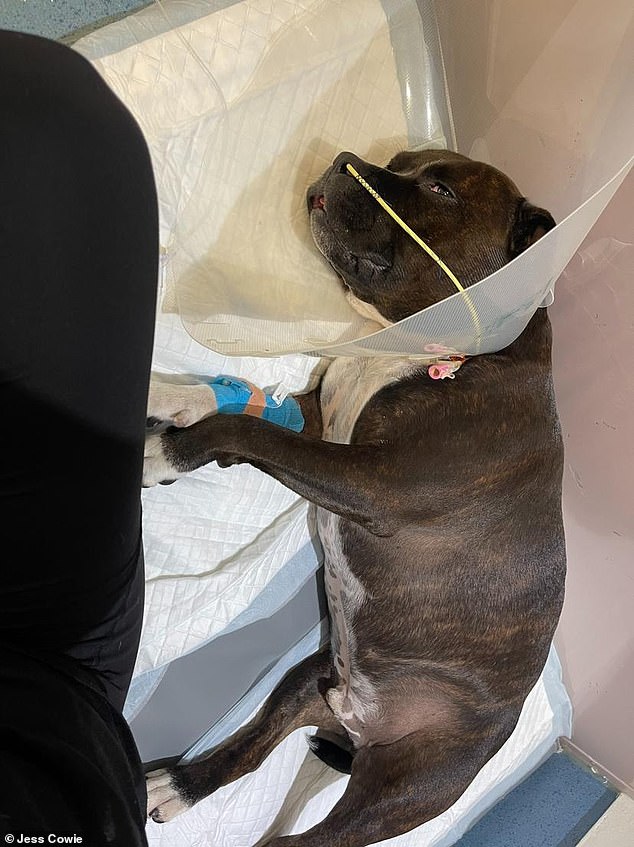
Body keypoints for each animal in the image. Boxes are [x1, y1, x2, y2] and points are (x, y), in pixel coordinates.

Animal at [143, 151, 564, 847]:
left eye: (440, 190)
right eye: (399, 162)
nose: (344, 161)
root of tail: (356, 725)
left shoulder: (374, 482)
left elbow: (246, 430)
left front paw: (172, 452)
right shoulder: (322, 421)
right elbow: (243, 409)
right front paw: (169, 396)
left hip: (402, 788)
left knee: (302, 839)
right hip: (308, 681)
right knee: (249, 752)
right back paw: (178, 783)